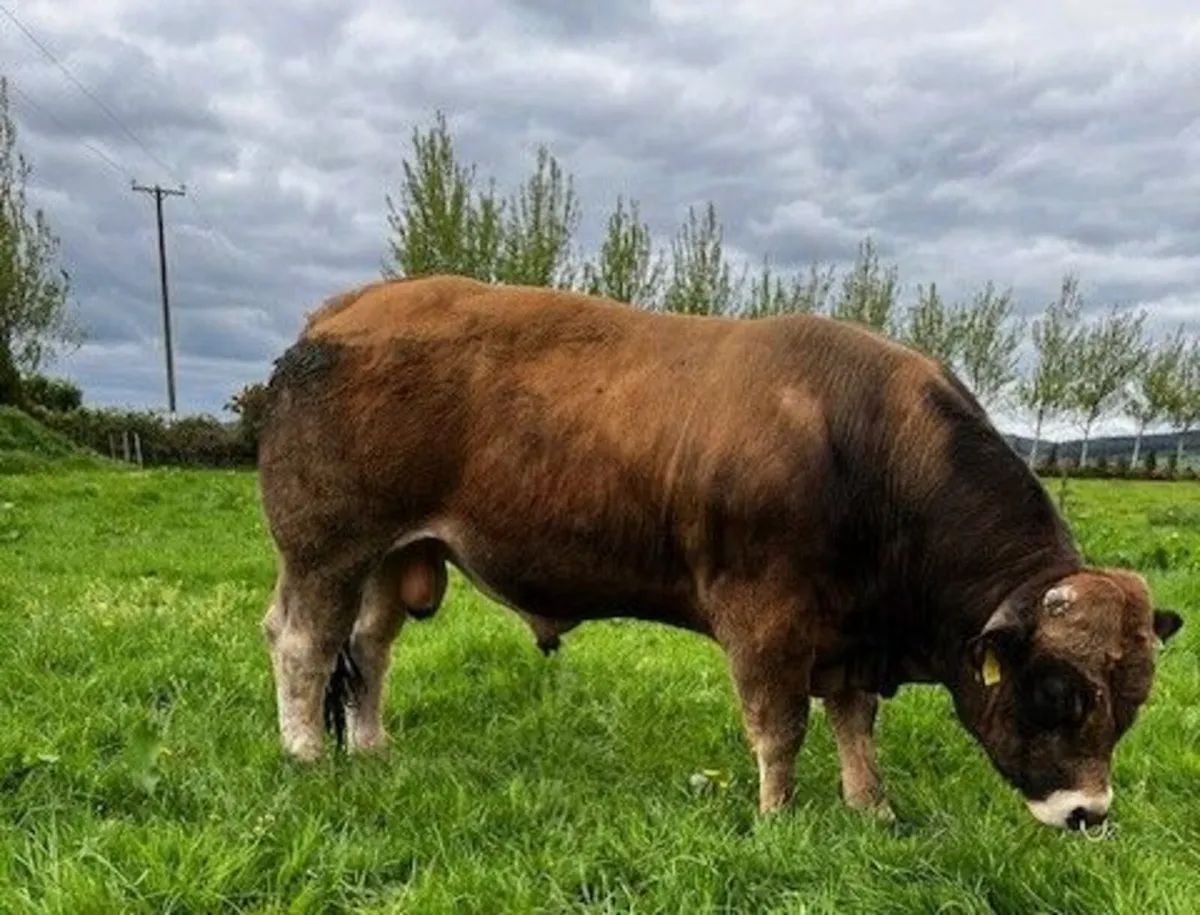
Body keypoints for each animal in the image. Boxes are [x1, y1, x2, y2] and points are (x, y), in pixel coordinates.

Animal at [256, 274, 1183, 831]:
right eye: (1057, 691)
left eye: (1133, 699)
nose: (1089, 812)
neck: (870, 452)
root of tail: (346, 309)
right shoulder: (766, 623)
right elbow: (782, 726)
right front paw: (777, 816)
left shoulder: (849, 635)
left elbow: (854, 724)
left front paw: (871, 808)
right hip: (327, 547)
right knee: (304, 642)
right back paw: (306, 755)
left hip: (393, 556)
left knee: (368, 648)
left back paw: (372, 746)